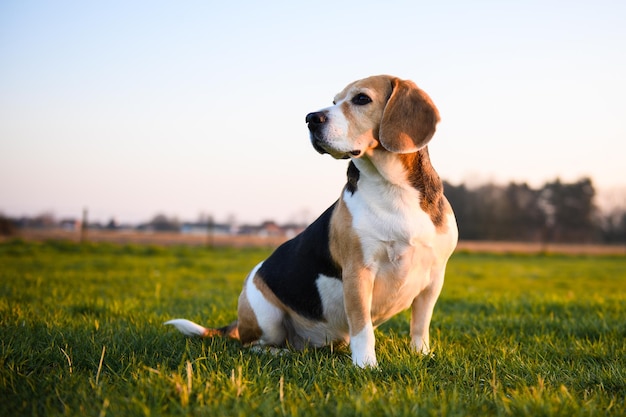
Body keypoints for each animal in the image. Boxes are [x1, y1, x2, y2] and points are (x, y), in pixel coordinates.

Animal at [167, 75, 458, 368]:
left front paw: (421, 354)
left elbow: (420, 325)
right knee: (251, 345)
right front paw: (366, 365)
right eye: (334, 101)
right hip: (266, 316)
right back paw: (280, 352)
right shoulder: (358, 273)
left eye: (361, 99)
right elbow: (362, 326)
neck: (392, 187)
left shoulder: (434, 278)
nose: (310, 118)